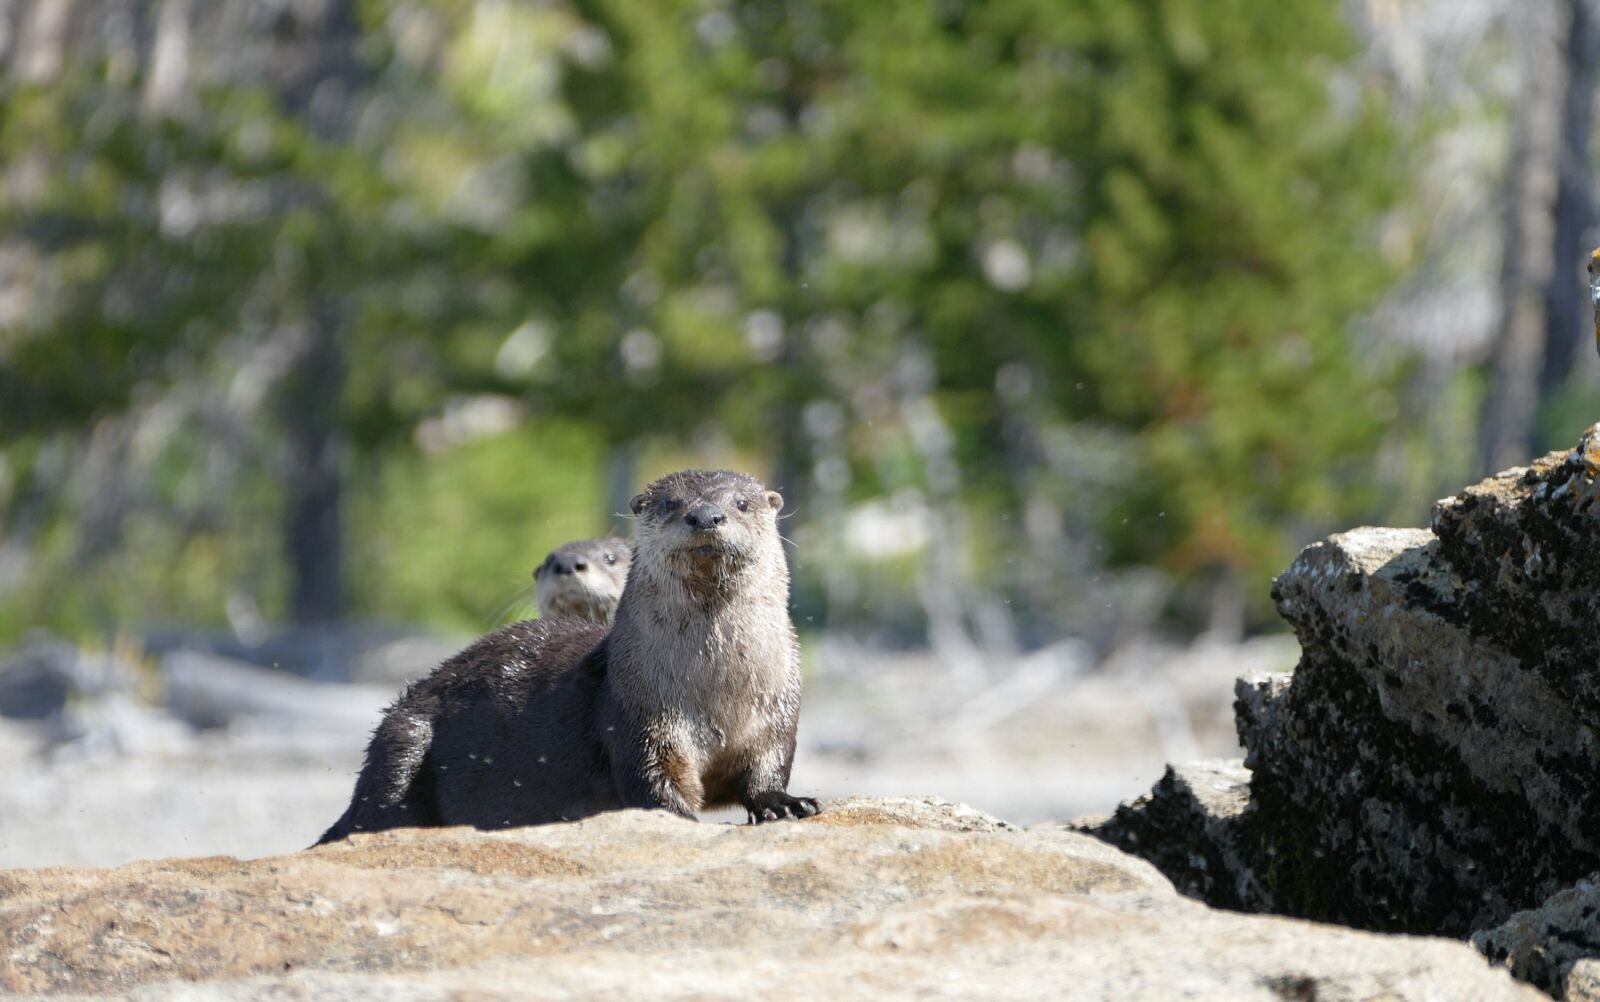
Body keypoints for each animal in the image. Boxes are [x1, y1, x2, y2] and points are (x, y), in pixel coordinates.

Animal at [316, 469, 818, 843]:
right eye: (670, 504)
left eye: (742, 504)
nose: (705, 516)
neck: (718, 688)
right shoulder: (641, 717)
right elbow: (655, 785)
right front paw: (679, 820)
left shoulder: (777, 713)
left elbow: (766, 770)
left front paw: (784, 803)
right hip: (403, 741)